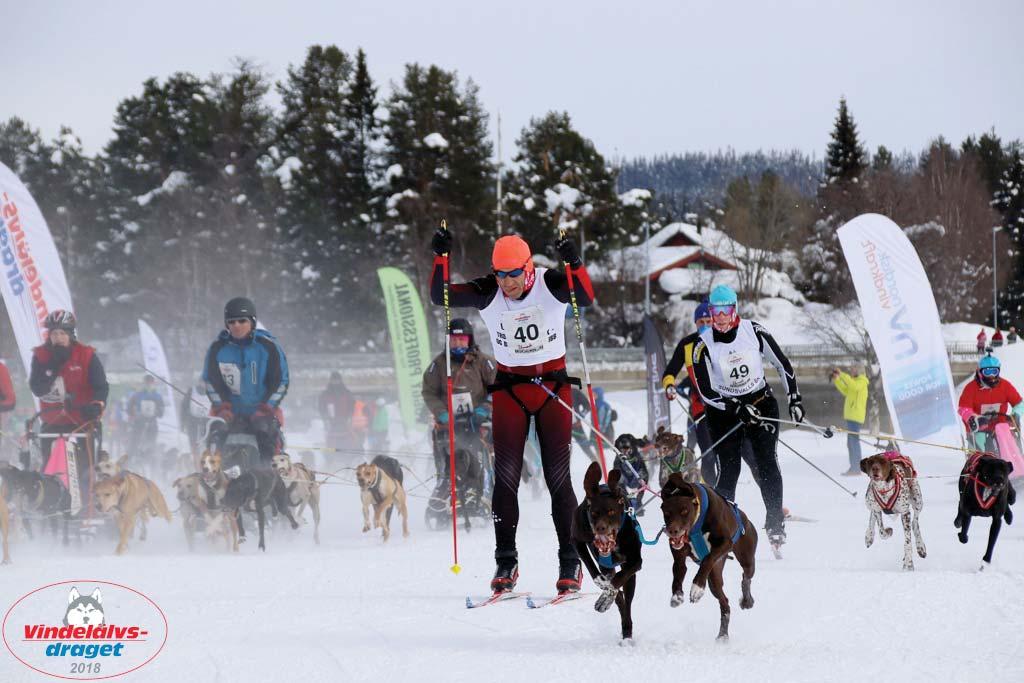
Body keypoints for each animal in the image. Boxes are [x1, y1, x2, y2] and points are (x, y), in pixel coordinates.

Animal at [573, 462, 643, 643]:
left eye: (611, 511)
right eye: (594, 513)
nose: (600, 528)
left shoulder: (635, 561)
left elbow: (618, 580)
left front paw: (605, 597)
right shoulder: (577, 540)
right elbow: (594, 570)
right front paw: (603, 588)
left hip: (631, 578)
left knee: (627, 600)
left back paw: (627, 629)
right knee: (621, 600)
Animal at [659, 475, 757, 643]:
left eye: (684, 511)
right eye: (667, 512)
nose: (672, 531)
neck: (696, 525)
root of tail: (746, 519)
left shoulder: (724, 543)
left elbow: (707, 559)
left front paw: (696, 588)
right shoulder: (679, 555)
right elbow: (678, 571)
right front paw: (677, 595)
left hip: (746, 559)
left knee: (746, 577)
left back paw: (746, 601)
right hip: (714, 579)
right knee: (725, 603)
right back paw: (723, 635)